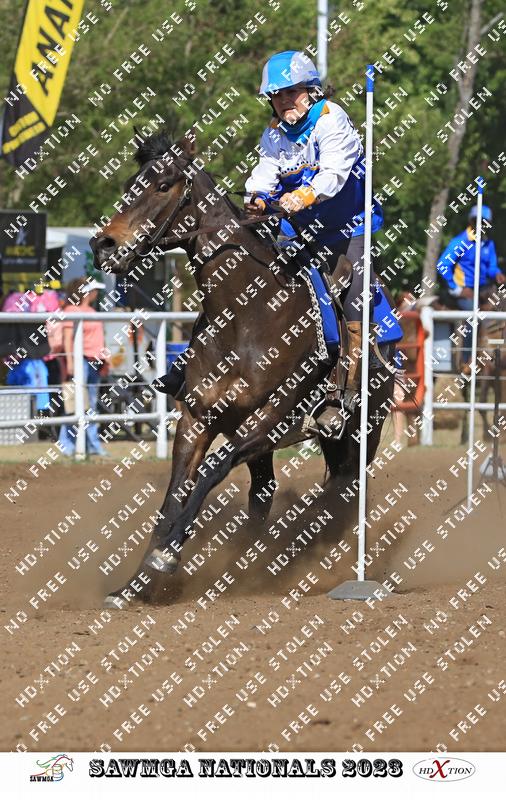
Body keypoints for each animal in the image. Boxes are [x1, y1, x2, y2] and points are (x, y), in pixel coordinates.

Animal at [90, 130, 396, 608]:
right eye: (130, 184)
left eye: (163, 185)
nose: (103, 245)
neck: (246, 313)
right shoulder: (197, 419)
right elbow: (174, 495)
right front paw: (135, 584)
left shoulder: (269, 420)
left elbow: (211, 473)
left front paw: (166, 558)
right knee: (266, 494)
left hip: (361, 432)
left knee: (340, 495)